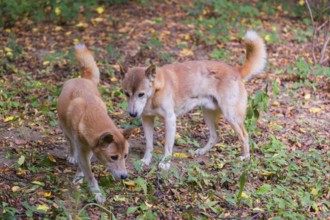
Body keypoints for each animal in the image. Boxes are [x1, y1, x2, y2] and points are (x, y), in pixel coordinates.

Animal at [57, 43, 133, 204]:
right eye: (114, 157)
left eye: (125, 156)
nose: (125, 177)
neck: (90, 115)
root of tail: (82, 79)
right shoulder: (82, 150)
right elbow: (90, 176)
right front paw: (97, 193)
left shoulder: (90, 150)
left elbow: (83, 169)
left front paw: (79, 178)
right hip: (65, 129)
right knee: (70, 143)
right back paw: (71, 155)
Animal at [120, 30, 266, 169]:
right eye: (126, 93)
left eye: (141, 94)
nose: (132, 114)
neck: (154, 94)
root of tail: (235, 70)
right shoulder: (147, 119)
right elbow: (149, 144)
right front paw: (146, 160)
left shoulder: (170, 120)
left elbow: (167, 146)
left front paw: (165, 163)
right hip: (208, 113)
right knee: (215, 136)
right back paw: (203, 151)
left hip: (231, 116)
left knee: (244, 135)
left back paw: (245, 157)